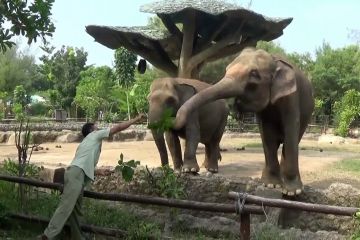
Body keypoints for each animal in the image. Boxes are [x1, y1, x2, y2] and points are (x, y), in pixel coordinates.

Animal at [174, 47, 316, 196]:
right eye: (227, 68)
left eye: (254, 74)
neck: (273, 59)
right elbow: (268, 136)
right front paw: (270, 185)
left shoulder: (291, 98)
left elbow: (290, 131)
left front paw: (292, 192)